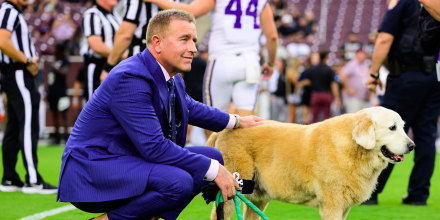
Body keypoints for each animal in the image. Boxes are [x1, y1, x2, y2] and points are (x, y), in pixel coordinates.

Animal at [208, 105, 414, 219]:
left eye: (403, 127)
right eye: (392, 128)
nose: (412, 145)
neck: (354, 149)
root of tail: (223, 131)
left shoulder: (344, 207)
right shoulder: (332, 205)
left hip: (257, 197)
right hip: (231, 190)